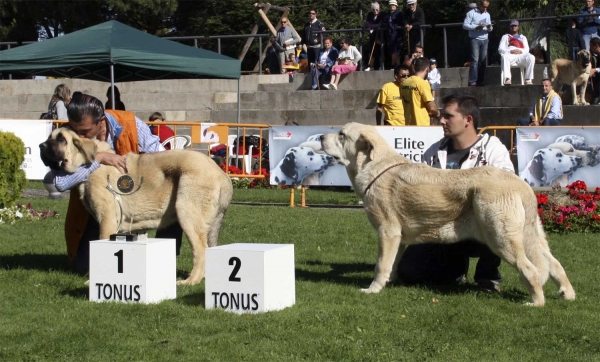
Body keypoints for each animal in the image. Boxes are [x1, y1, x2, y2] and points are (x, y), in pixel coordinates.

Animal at [39, 128, 232, 286]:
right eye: (49, 138)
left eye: (61, 139)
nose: (41, 146)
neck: (89, 165)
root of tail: (221, 174)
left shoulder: (108, 219)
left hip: (187, 213)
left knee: (200, 250)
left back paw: (190, 280)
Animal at [322, 123, 576, 306]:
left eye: (342, 135)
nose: (321, 137)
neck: (374, 167)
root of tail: (522, 185)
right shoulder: (398, 239)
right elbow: (391, 265)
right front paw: (388, 283)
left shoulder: (388, 232)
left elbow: (380, 265)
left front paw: (373, 289)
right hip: (530, 236)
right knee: (554, 264)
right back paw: (568, 294)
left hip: (500, 237)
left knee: (531, 270)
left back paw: (536, 303)